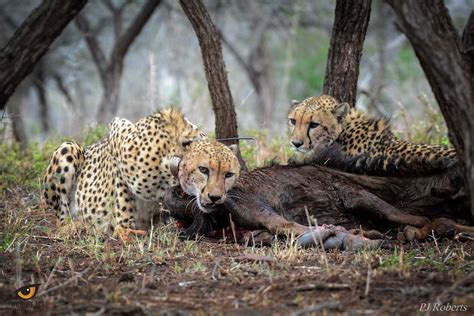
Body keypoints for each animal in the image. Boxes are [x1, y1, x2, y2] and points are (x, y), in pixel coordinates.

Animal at [41, 108, 204, 239]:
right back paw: (74, 226)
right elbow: (124, 197)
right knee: (60, 218)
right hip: (68, 147)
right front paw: (123, 229)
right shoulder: (119, 135)